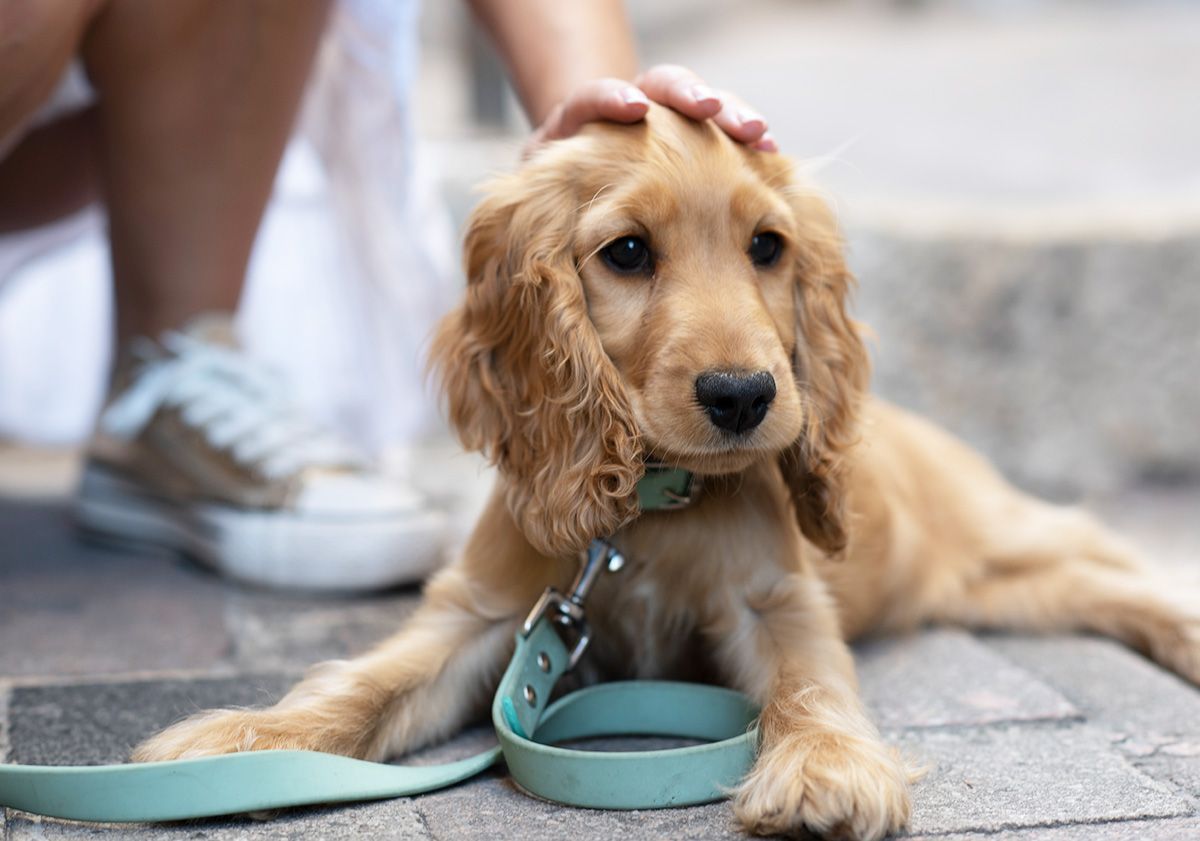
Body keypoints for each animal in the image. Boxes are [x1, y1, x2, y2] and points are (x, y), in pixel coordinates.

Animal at [133, 106, 1200, 839]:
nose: (744, 395)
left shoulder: (777, 601)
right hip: (1007, 588)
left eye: (768, 247)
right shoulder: (483, 615)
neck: (647, 507)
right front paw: (242, 742)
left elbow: (808, 685)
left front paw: (824, 771)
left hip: (1006, 528)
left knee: (1120, 557)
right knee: (1095, 584)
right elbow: (364, 685)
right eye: (628, 252)